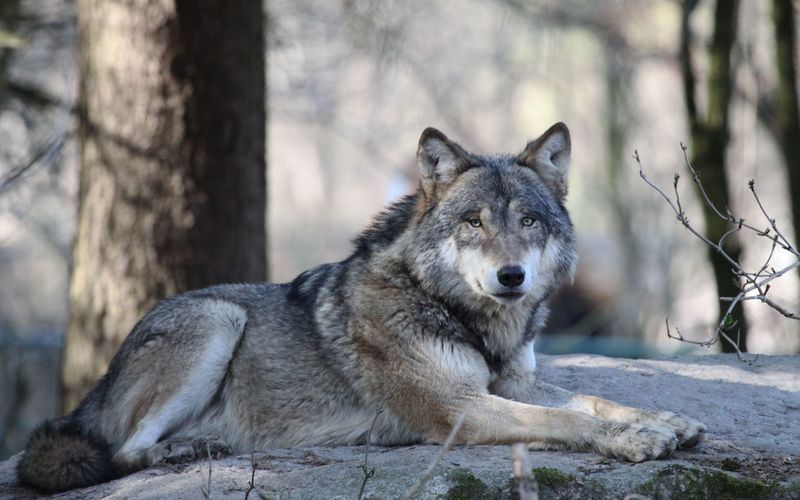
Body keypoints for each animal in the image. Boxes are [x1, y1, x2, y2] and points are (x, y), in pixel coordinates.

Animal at [17, 123, 708, 490]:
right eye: (474, 222)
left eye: (529, 221)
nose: (510, 276)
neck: (457, 314)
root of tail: (102, 380)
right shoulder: (458, 410)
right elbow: (566, 420)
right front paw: (633, 440)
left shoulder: (509, 383)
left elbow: (590, 399)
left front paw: (663, 420)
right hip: (219, 319)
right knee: (124, 451)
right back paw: (182, 452)